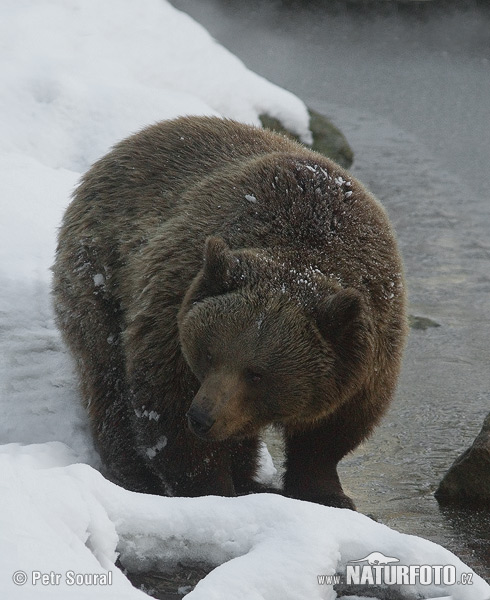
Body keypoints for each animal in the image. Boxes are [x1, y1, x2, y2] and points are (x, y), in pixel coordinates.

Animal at [51, 115, 408, 508]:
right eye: (209, 353)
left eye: (257, 374)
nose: (202, 417)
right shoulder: (174, 304)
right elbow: (167, 409)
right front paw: (213, 490)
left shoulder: (369, 348)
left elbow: (332, 432)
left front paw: (328, 494)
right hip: (101, 276)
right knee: (107, 375)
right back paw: (133, 471)